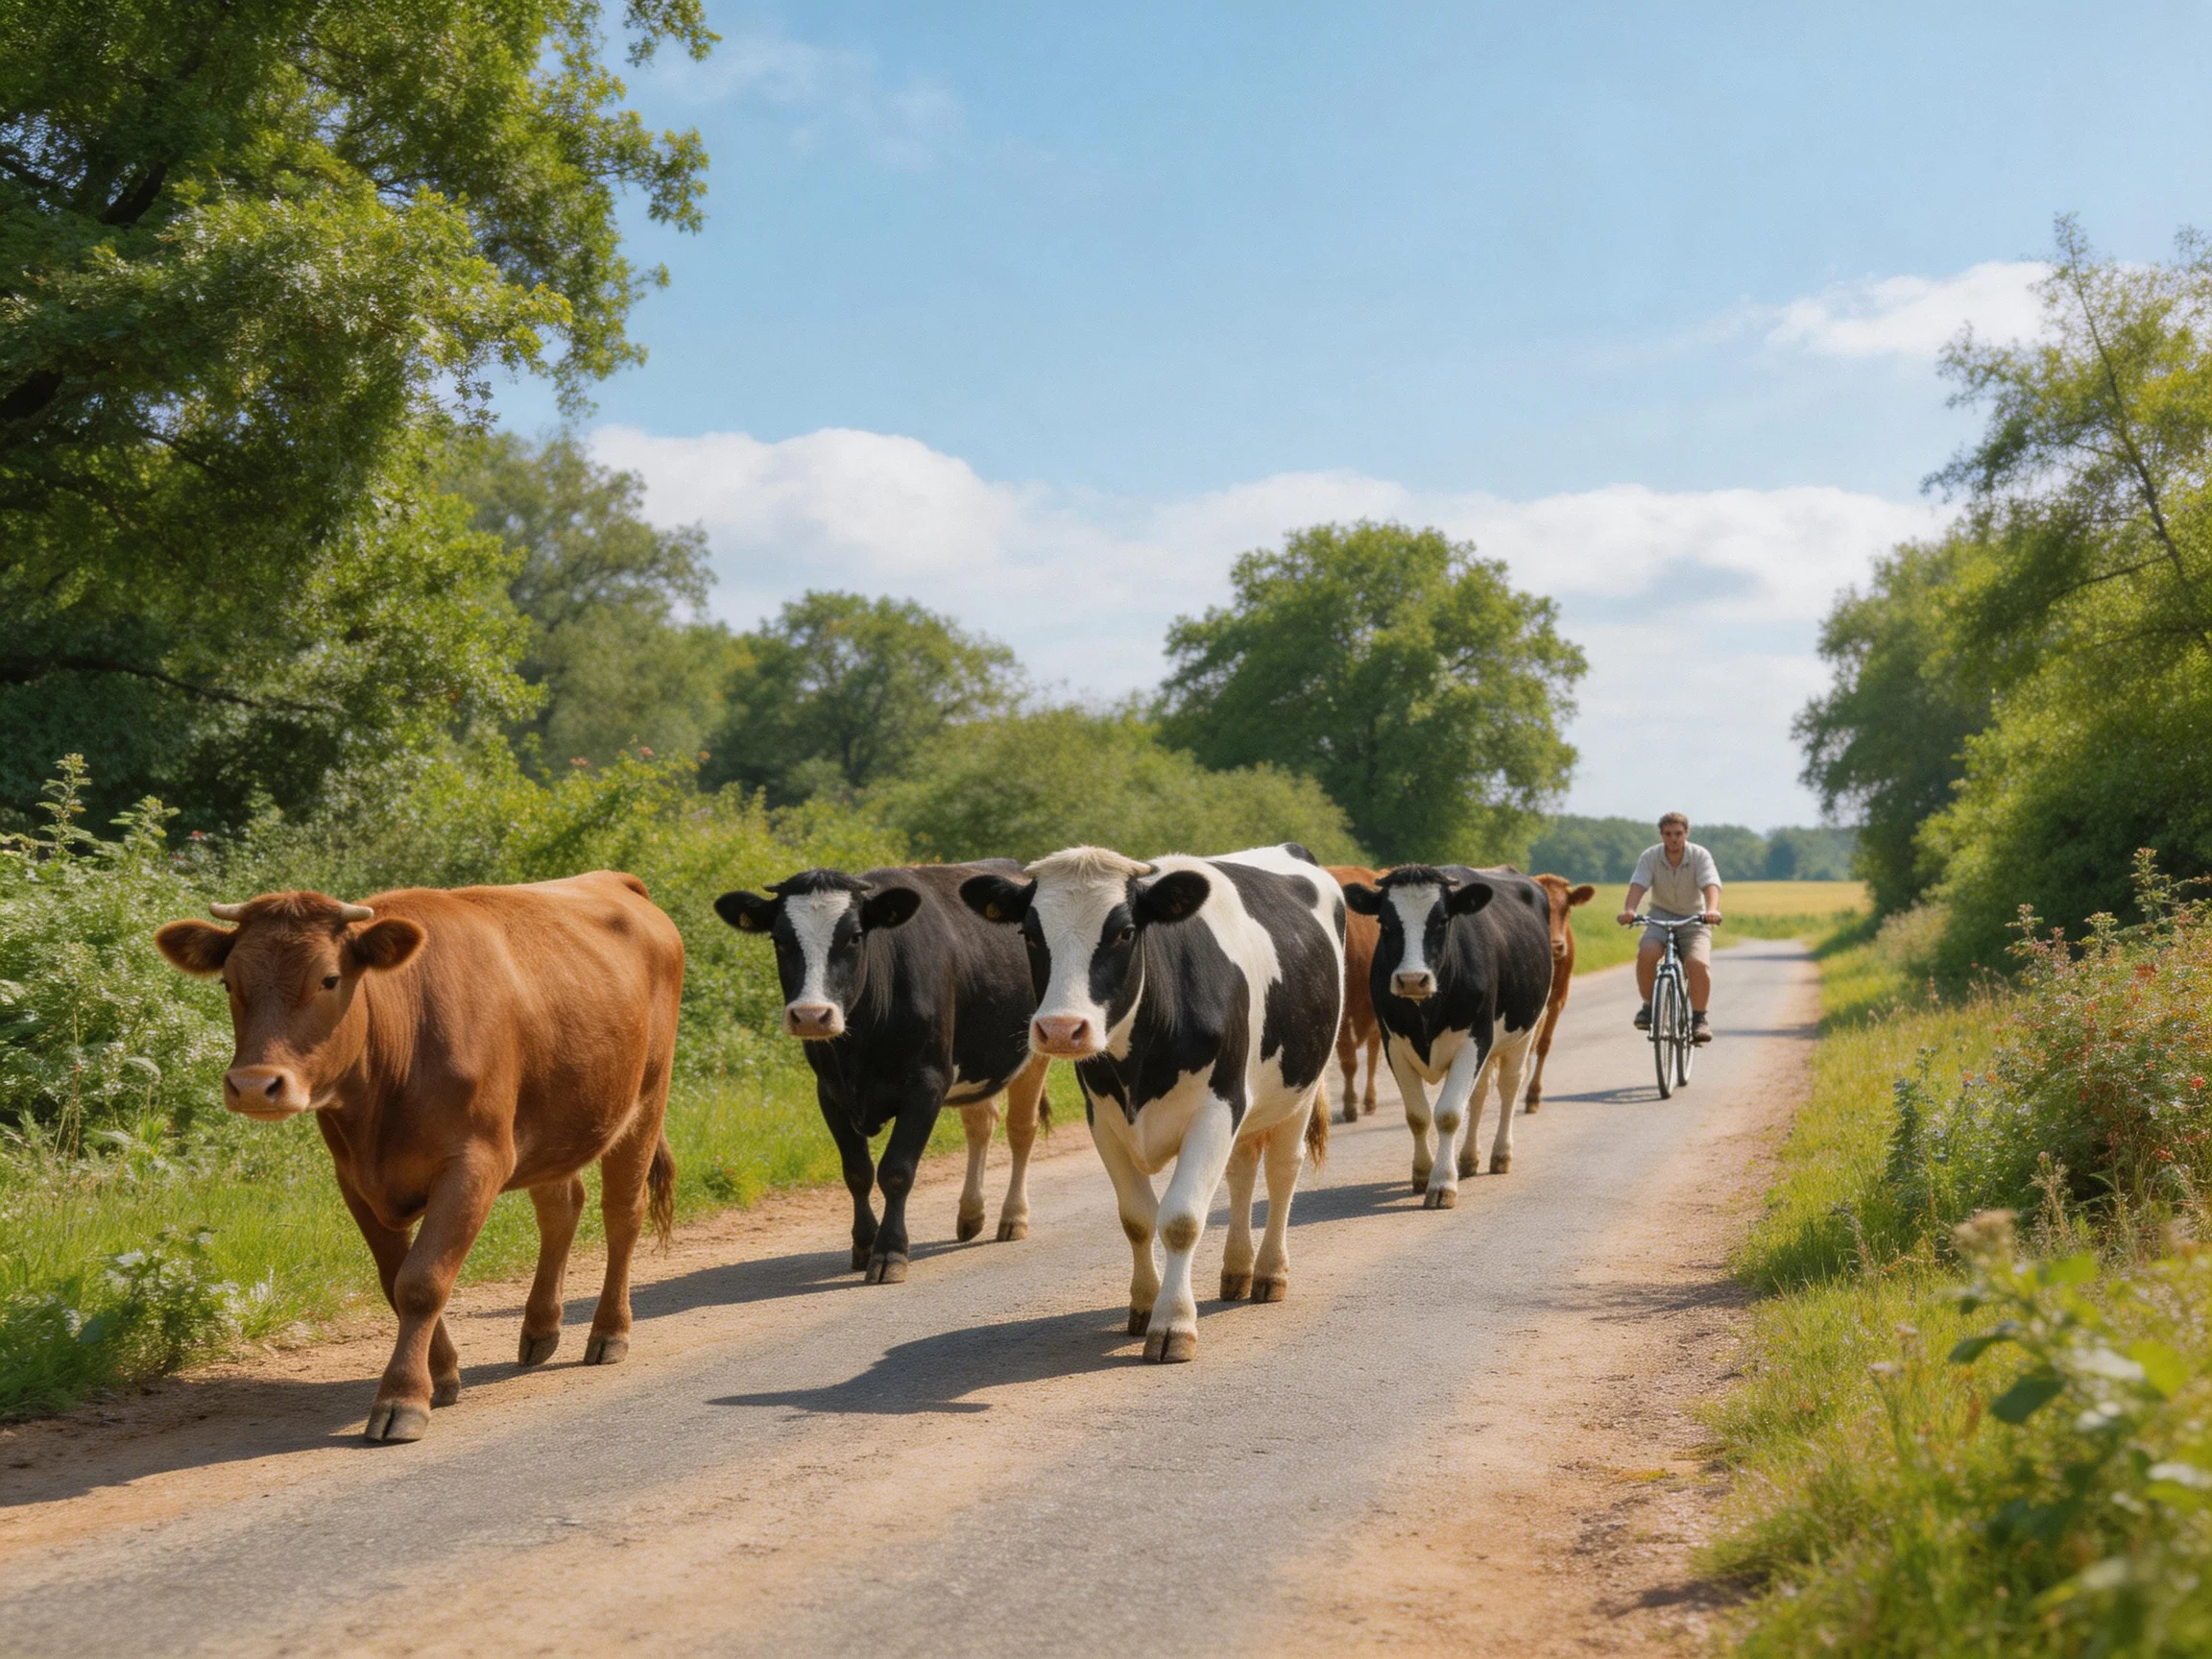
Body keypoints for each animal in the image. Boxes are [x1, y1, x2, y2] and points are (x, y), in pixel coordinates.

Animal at [153, 872, 683, 1444]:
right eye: (228, 983)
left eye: (329, 979)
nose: (254, 1085)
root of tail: (610, 880)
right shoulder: (355, 1179)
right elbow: (394, 1280)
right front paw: (442, 1374)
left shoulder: (475, 1163)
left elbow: (423, 1281)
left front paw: (403, 1397)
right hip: (553, 1126)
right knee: (561, 1209)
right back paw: (540, 1328)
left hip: (646, 1100)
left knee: (622, 1215)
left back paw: (609, 1333)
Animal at [713, 863, 1050, 1284]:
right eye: (779, 939)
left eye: (855, 937)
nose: (811, 1015)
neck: (859, 1048)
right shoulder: (830, 1092)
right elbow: (857, 1171)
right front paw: (863, 1244)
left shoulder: (927, 1084)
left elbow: (896, 1171)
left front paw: (889, 1252)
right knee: (981, 1123)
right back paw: (971, 1214)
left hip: (1036, 1048)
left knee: (1021, 1130)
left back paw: (1013, 1217)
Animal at [962, 844, 1341, 1363]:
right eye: (1029, 933)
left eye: (1124, 931)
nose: (1060, 1029)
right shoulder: (1103, 1120)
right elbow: (1137, 1219)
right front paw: (1143, 1306)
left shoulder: (1216, 1108)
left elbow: (1181, 1219)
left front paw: (1173, 1324)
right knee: (1242, 1170)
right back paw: (1237, 1270)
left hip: (1299, 1086)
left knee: (1282, 1170)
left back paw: (1268, 1273)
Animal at [1342, 865, 1553, 1208]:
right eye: (1384, 923)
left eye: (1442, 920)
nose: (1412, 979)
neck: (1426, 1011)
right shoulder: (1393, 1044)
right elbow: (1418, 1115)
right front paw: (1422, 1173)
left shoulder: (1475, 1039)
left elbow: (1449, 1113)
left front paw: (1442, 1183)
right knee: (1479, 1094)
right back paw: (1468, 1159)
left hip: (1525, 1030)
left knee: (1509, 1086)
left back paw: (1500, 1154)